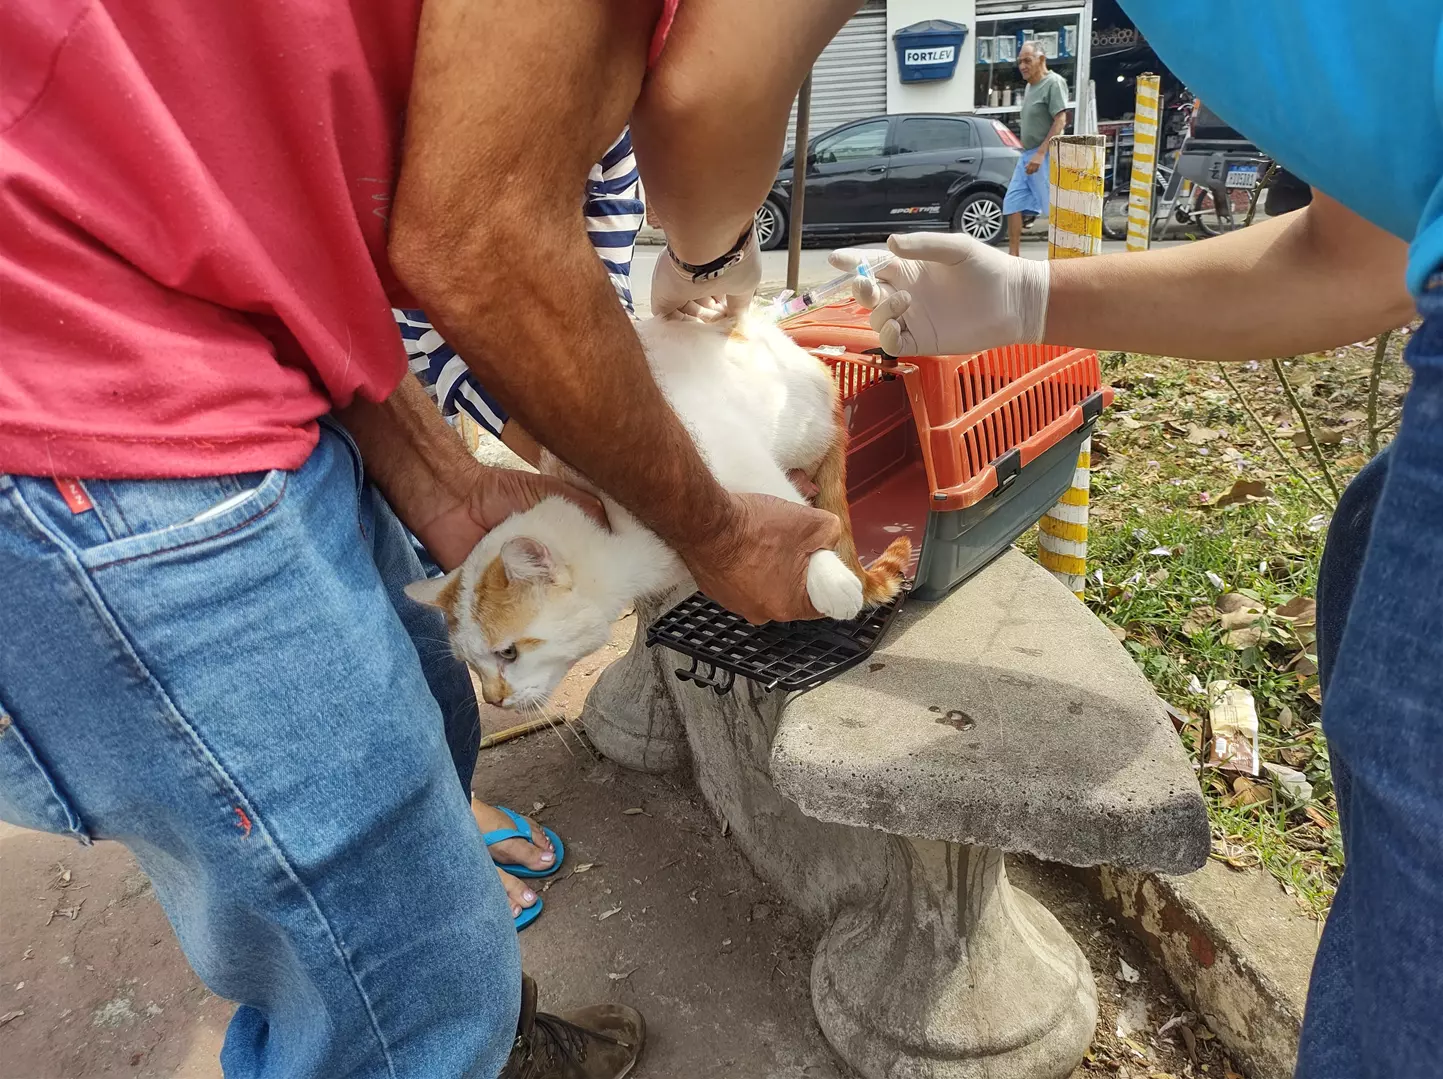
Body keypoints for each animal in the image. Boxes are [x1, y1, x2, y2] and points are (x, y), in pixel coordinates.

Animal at [406, 314, 906, 707]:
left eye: (508, 652)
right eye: (470, 664)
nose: (494, 699)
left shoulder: (734, 462)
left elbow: (789, 508)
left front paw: (827, 574)